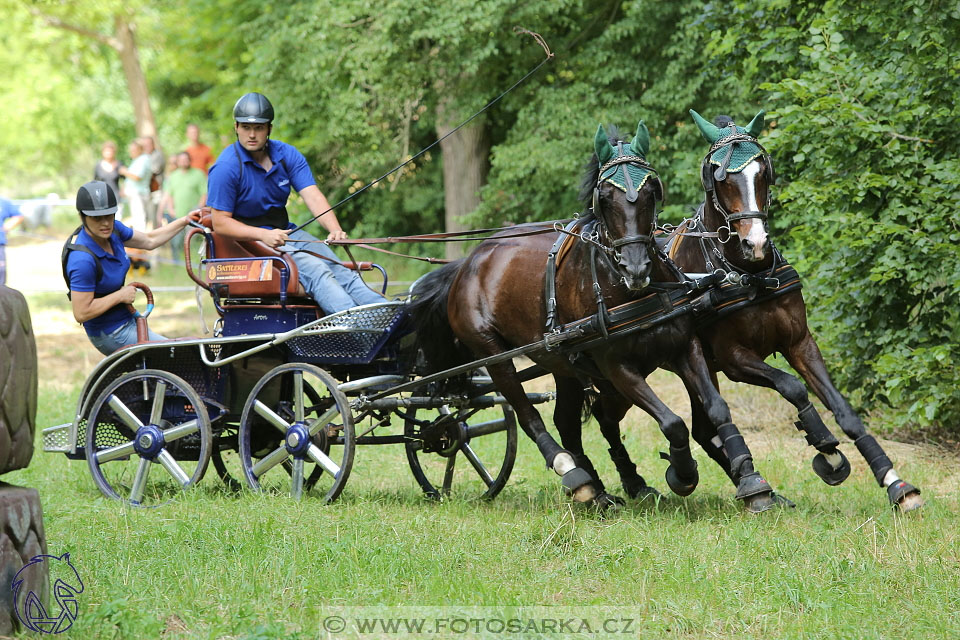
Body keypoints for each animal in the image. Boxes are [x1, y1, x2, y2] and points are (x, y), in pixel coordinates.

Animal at [408, 120, 776, 510]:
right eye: (606, 198)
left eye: (651, 192)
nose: (636, 267)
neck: (634, 291)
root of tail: (467, 262)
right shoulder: (617, 367)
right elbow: (672, 422)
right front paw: (683, 473)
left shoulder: (684, 347)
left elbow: (717, 408)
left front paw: (750, 479)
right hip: (493, 355)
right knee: (528, 416)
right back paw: (575, 475)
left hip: (562, 363)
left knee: (566, 421)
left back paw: (599, 489)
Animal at [568, 109, 924, 510]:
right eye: (720, 177)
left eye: (763, 171)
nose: (756, 242)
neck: (748, 274)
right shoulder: (734, 359)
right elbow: (792, 386)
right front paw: (827, 450)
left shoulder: (800, 343)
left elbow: (844, 410)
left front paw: (894, 481)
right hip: (615, 374)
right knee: (605, 417)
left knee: (698, 427)